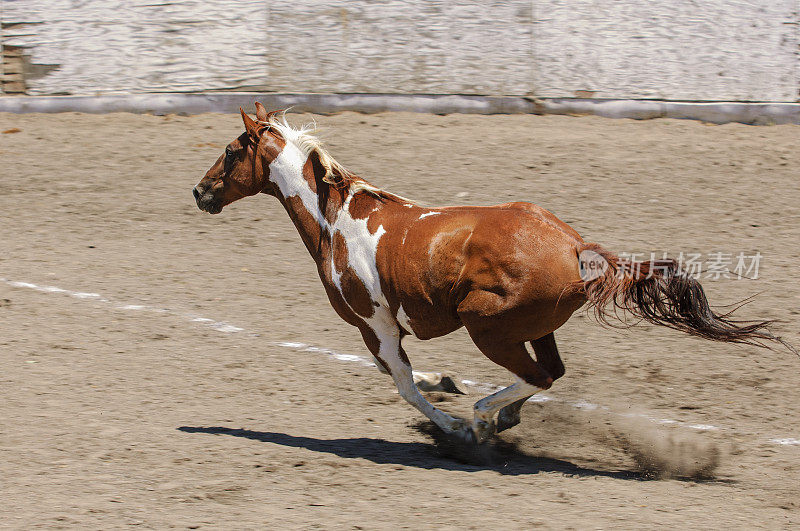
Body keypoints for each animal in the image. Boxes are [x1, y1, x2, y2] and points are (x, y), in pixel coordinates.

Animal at [192, 104, 788, 444]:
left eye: (230, 150)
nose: (200, 192)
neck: (334, 220)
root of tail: (577, 248)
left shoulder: (373, 325)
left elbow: (403, 383)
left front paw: (456, 422)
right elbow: (408, 379)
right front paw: (451, 393)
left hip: (486, 325)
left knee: (537, 377)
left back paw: (483, 419)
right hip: (533, 328)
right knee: (550, 373)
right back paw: (501, 417)